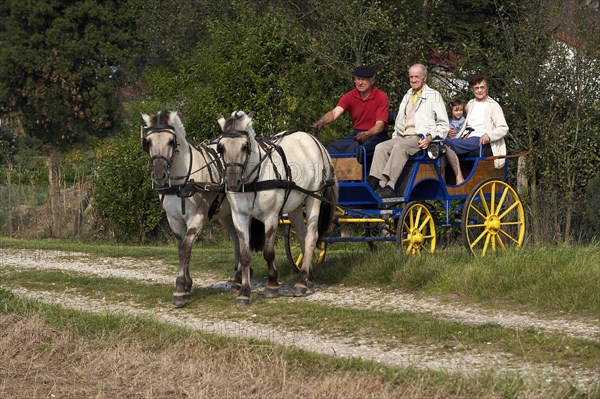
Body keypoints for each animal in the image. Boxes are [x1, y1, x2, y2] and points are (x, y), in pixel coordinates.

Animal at [142, 111, 243, 308]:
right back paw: (238, 277)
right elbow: (181, 247)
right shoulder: (173, 219)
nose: (159, 175)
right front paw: (187, 286)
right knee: (236, 238)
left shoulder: (197, 217)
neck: (182, 181)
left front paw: (181, 289)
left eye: (171, 141)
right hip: (226, 214)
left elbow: (186, 248)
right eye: (148, 142)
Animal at [216, 111, 338, 304]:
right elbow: (244, 255)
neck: (253, 179)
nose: (233, 182)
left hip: (313, 198)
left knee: (311, 237)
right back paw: (308, 278)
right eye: (220, 147)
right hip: (295, 206)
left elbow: (268, 252)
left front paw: (272, 285)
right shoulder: (239, 216)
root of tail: (313, 140)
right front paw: (244, 292)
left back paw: (301, 283)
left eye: (245, 146)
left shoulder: (271, 216)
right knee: (302, 236)